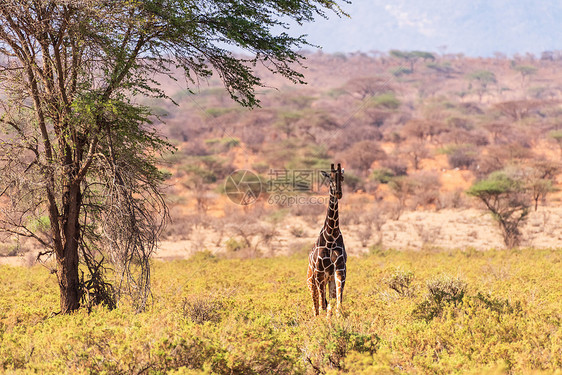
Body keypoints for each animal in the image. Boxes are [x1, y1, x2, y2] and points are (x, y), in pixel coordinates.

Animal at [306, 164, 346, 318]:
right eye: (329, 178)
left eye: (342, 177)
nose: (338, 193)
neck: (331, 237)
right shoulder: (319, 273)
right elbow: (322, 306)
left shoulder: (340, 270)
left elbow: (337, 304)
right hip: (311, 281)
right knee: (315, 307)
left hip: (329, 281)